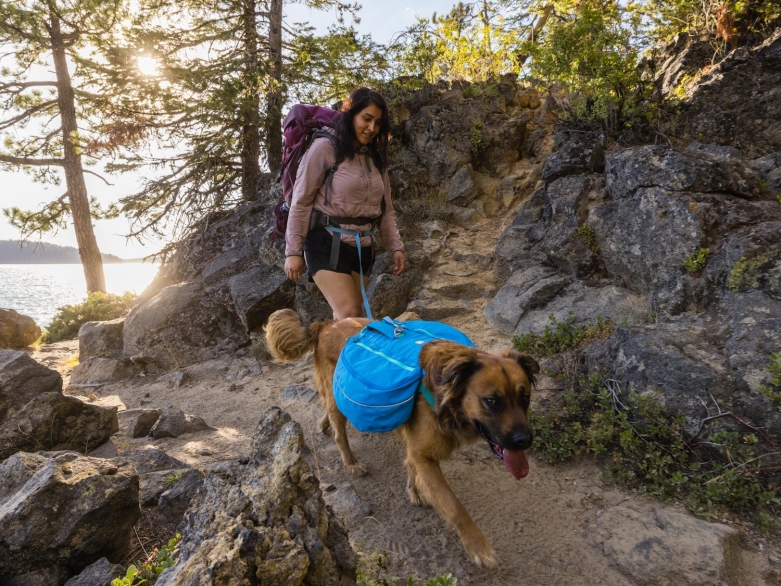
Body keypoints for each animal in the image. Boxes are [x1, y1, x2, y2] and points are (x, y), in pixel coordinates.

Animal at [266, 308, 540, 564]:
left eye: (525, 398)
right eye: (491, 401)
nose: (525, 441)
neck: (447, 396)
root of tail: (324, 325)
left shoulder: (418, 448)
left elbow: (411, 465)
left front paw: (415, 491)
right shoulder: (425, 456)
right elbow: (454, 507)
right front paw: (478, 547)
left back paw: (324, 424)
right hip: (338, 396)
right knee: (339, 433)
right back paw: (351, 462)